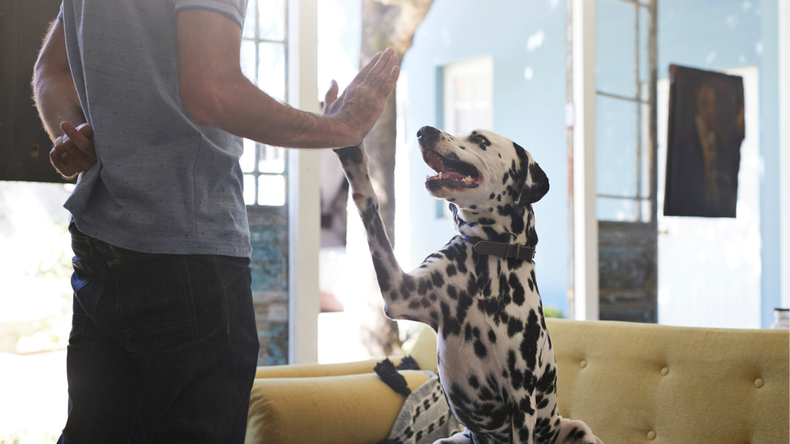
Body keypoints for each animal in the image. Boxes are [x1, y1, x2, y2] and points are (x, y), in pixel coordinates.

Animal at [332, 125, 600, 444]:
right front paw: (353, 159)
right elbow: (371, 206)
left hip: (579, 429)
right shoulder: (401, 292)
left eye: (480, 139)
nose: (424, 130)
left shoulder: (521, 401)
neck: (489, 261)